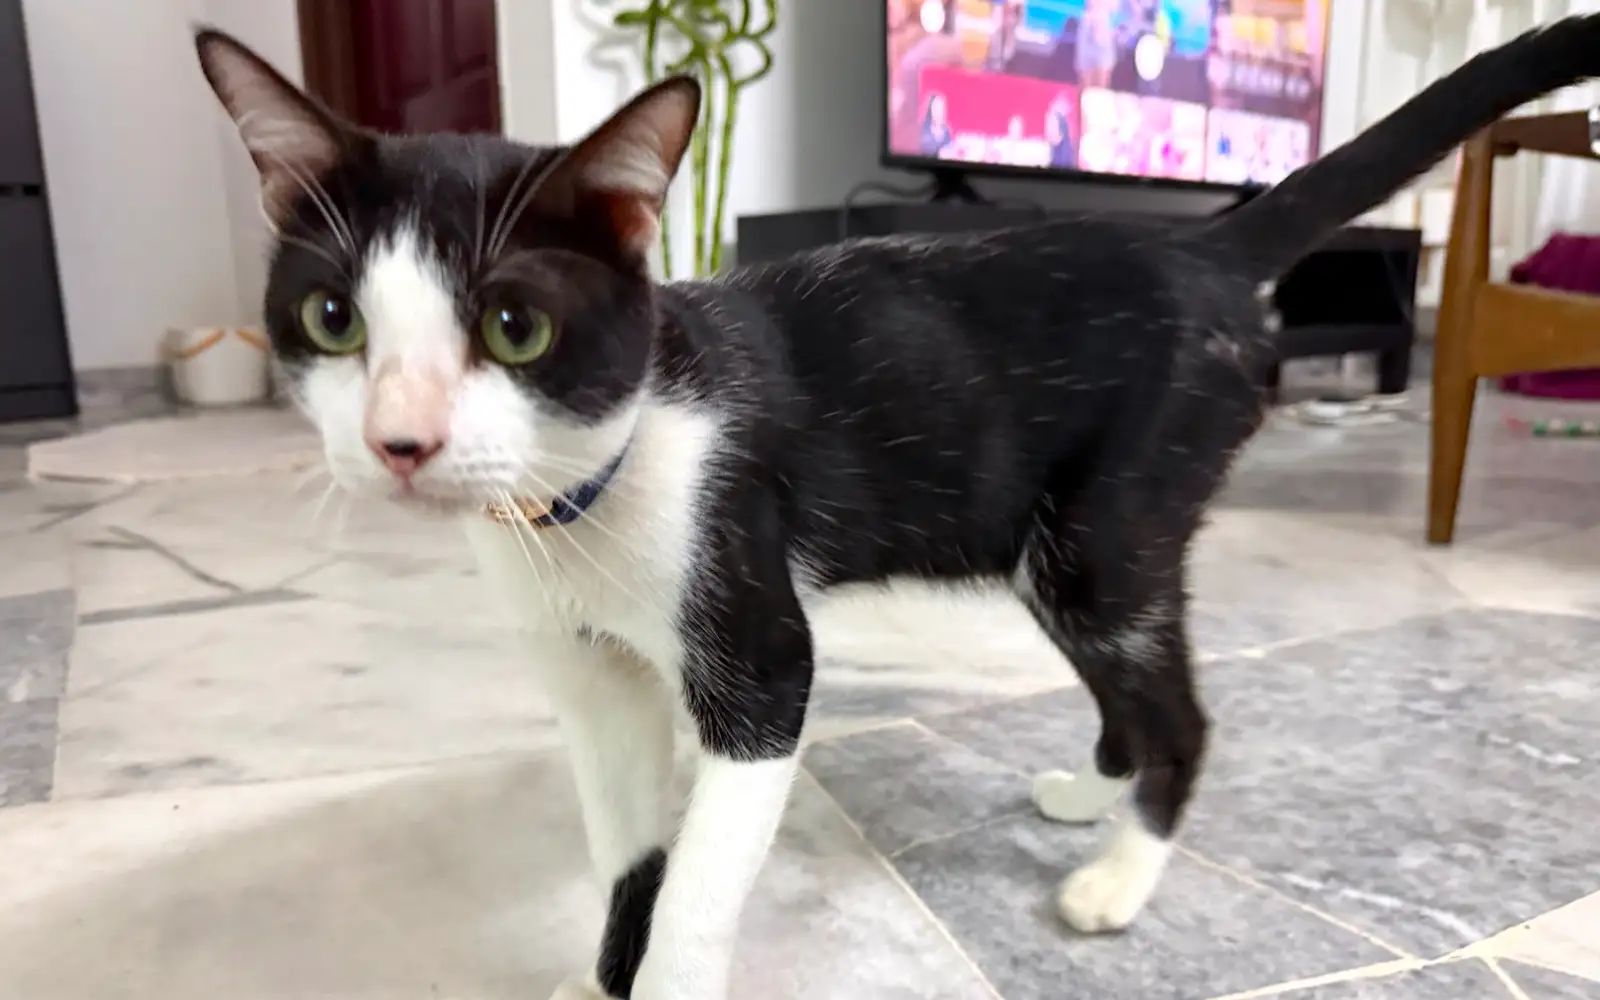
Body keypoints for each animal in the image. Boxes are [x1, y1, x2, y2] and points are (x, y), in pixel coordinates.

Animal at [196, 17, 1600, 1000]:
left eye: (515, 327)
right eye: (334, 317)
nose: (401, 441)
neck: (595, 496)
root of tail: (1203, 242)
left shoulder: (756, 651)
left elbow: (697, 875)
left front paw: (664, 969)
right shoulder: (588, 680)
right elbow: (629, 850)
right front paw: (603, 972)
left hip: (1101, 534)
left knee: (1179, 710)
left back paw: (1117, 875)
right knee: (1129, 694)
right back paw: (1090, 794)